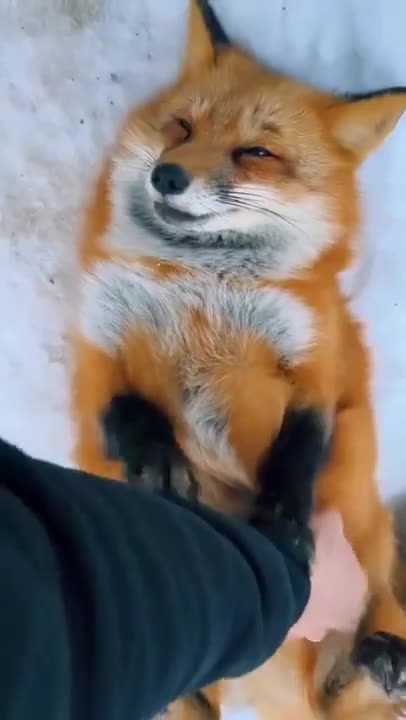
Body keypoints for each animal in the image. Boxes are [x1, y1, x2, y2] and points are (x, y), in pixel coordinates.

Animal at [70, 1, 406, 719]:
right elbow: (125, 413)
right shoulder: (97, 350)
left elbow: (302, 444)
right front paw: (159, 464)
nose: (167, 175)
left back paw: (384, 657)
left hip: (377, 573)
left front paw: (283, 517)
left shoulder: (316, 364)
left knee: (361, 669)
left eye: (257, 152)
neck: (200, 285)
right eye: (181, 126)